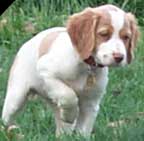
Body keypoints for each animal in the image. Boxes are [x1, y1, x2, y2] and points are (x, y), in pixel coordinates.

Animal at [1, 4, 139, 138]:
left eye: (126, 37)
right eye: (104, 34)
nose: (119, 57)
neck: (86, 66)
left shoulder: (91, 102)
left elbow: (84, 129)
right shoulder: (47, 71)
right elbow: (68, 95)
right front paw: (70, 116)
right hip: (16, 96)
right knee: (6, 118)